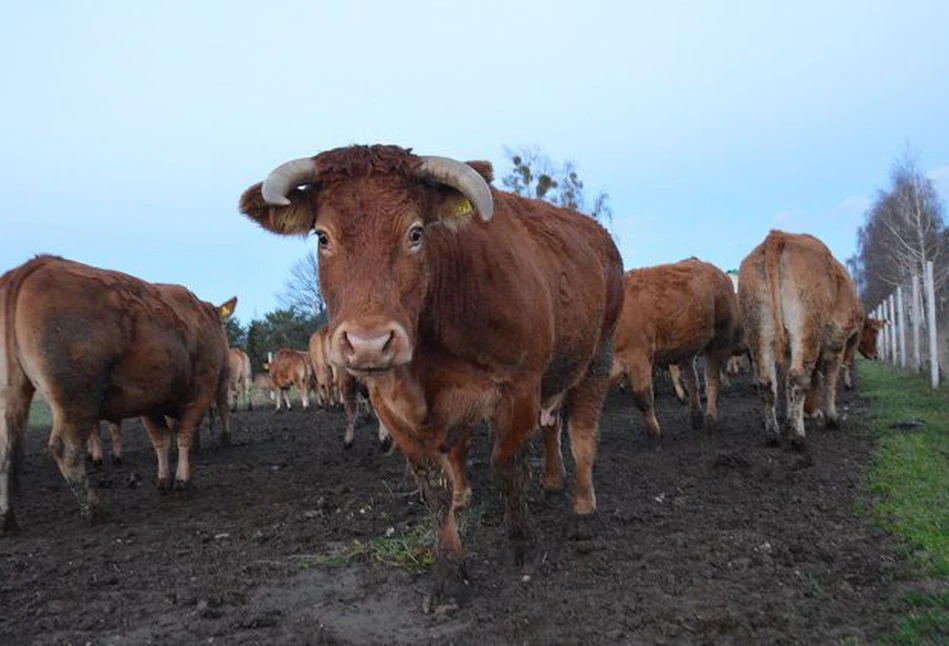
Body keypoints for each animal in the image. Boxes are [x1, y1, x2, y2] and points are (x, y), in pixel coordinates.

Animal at [0, 256, 235, 532]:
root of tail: (35, 266)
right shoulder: (201, 390)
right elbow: (184, 436)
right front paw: (183, 481)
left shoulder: (151, 401)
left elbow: (161, 440)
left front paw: (164, 480)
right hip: (76, 398)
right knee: (66, 450)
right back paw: (93, 508)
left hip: (11, 395)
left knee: (5, 453)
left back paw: (7, 518)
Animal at [237, 144, 624, 600]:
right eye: (323, 237)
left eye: (416, 233)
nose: (369, 342)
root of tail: (597, 235)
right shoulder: (391, 406)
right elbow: (434, 485)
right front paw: (449, 571)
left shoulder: (519, 388)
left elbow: (508, 467)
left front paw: (524, 546)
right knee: (546, 428)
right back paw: (547, 482)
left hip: (598, 356)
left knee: (581, 434)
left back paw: (582, 510)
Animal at [612, 256, 744, 436]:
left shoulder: (637, 356)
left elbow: (642, 398)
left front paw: (654, 432)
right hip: (686, 348)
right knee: (692, 381)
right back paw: (696, 416)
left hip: (718, 341)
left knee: (712, 378)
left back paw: (710, 418)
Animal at [736, 230, 864, 448]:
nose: (811, 413)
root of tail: (778, 236)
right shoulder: (836, 342)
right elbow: (829, 380)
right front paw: (831, 418)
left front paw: (791, 418)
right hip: (806, 326)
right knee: (797, 376)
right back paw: (797, 436)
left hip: (759, 327)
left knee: (768, 381)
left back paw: (773, 433)